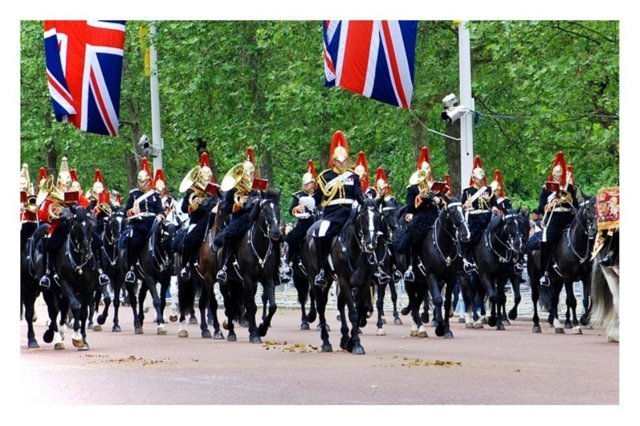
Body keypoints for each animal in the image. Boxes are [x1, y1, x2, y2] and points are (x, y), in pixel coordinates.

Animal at [304, 198, 380, 354]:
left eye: (378, 217)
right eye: (363, 217)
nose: (370, 245)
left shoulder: (364, 282)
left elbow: (361, 309)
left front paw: (350, 341)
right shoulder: (344, 281)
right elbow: (353, 313)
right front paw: (356, 344)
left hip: (329, 280)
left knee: (335, 303)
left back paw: (343, 338)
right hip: (314, 278)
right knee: (321, 306)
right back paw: (326, 342)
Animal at [400, 199, 470, 340]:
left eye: (463, 210)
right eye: (452, 212)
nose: (466, 234)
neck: (444, 245)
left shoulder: (451, 278)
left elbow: (447, 302)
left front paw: (447, 330)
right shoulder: (432, 276)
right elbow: (437, 299)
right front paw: (440, 328)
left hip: (422, 283)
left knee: (417, 301)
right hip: (411, 282)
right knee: (414, 302)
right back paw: (420, 328)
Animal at [528, 198, 596, 334]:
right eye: (587, 209)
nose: (594, 230)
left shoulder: (586, 277)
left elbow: (588, 300)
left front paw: (585, 319)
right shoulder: (568, 278)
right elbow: (572, 300)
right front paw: (575, 324)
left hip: (557, 280)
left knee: (554, 299)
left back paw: (557, 324)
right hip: (534, 276)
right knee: (535, 298)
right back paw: (537, 324)